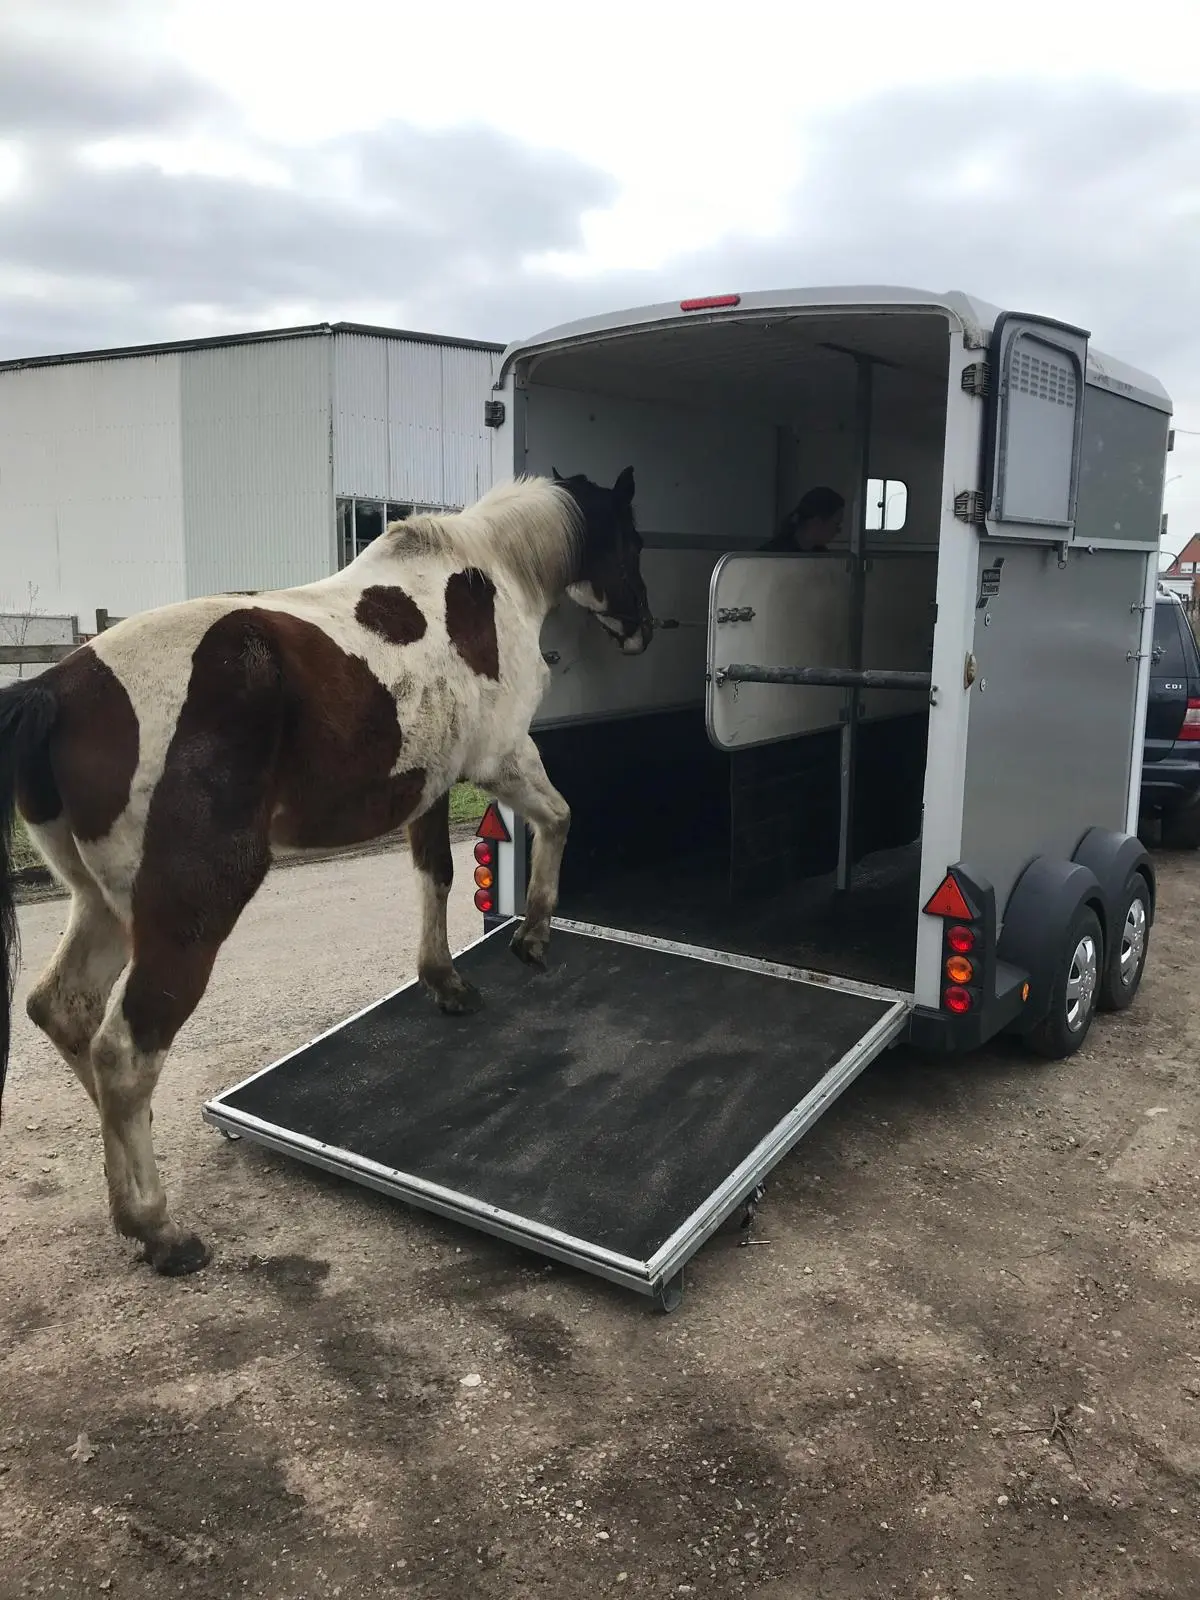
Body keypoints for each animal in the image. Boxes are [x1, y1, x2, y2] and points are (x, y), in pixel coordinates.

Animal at [0, 467, 652, 1276]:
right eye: (633, 539)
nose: (643, 627)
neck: (485, 575)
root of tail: (54, 691)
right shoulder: (500, 759)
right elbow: (558, 818)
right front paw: (532, 936)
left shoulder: (431, 784)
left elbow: (435, 876)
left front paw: (446, 982)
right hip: (186, 914)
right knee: (125, 1050)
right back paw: (159, 1227)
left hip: (105, 904)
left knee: (66, 1012)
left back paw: (130, 1190)